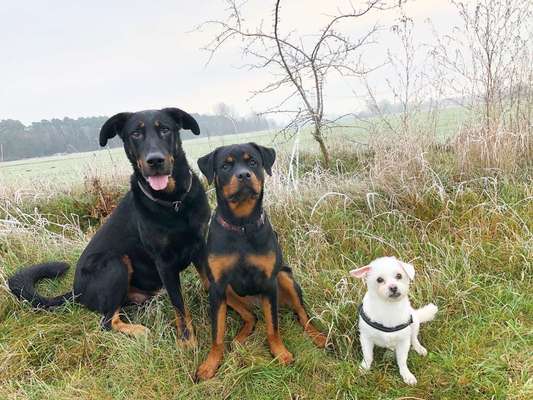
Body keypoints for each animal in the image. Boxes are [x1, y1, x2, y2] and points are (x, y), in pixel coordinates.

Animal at [8, 108, 208, 346]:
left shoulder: (200, 245)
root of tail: (76, 291)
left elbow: (209, 281)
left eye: (165, 129)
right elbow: (180, 306)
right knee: (107, 321)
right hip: (115, 262)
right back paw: (138, 331)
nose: (155, 160)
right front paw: (187, 341)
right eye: (136, 134)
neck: (174, 203)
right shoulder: (164, 262)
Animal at [195, 142, 326, 380]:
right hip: (225, 290)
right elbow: (217, 333)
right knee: (251, 317)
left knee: (302, 314)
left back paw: (317, 336)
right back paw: (239, 340)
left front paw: (280, 352)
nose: (243, 175)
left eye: (253, 162)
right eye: (226, 165)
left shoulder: (269, 282)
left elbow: (273, 326)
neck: (242, 225)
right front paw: (210, 364)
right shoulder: (217, 286)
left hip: (284, 277)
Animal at [350, 256, 436, 384]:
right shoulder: (366, 338)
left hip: (415, 322)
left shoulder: (403, 341)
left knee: (414, 338)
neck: (389, 307)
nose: (393, 287)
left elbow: (402, 360)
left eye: (399, 276)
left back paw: (419, 348)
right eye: (379, 279)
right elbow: (368, 356)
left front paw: (406, 375)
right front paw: (364, 368)